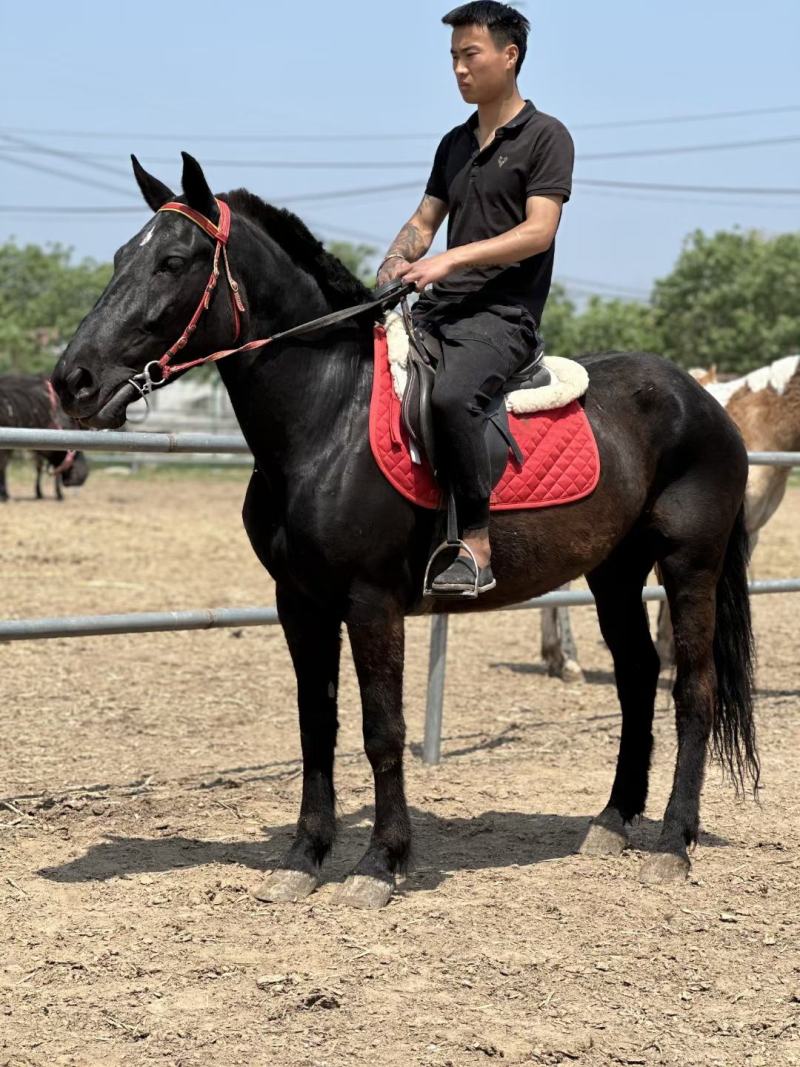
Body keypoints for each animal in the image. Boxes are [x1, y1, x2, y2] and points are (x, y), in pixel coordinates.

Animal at [51, 153, 758, 908]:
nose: (73, 381)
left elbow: (381, 730)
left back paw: (673, 841)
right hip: (614, 572)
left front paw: (379, 863)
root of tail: (705, 401)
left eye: (173, 261)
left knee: (692, 691)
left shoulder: (372, 602)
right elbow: (316, 723)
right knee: (636, 677)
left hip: (690, 564)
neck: (328, 415)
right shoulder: (298, 603)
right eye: (121, 256)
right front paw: (304, 857)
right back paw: (612, 821)